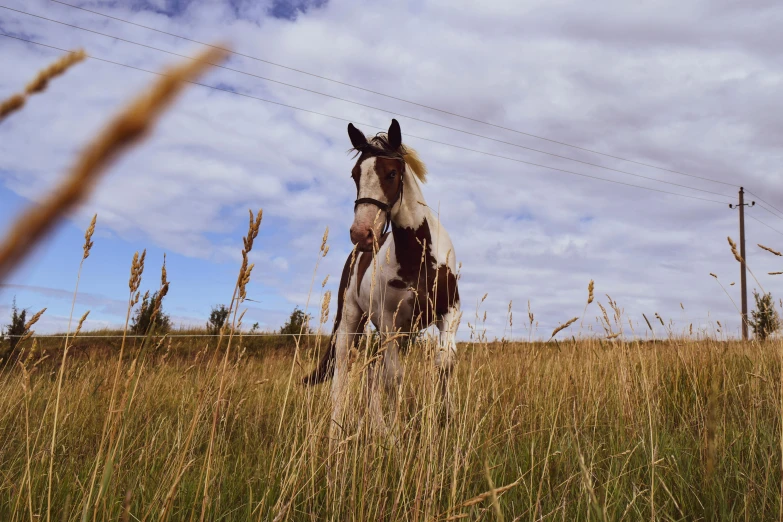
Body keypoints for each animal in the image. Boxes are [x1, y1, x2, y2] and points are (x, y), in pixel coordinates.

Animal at [304, 117, 462, 434]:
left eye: (392, 173)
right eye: (355, 175)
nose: (362, 233)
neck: (418, 258)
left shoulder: (449, 314)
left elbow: (444, 364)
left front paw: (448, 421)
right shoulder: (389, 322)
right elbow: (394, 377)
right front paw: (395, 434)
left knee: (372, 373)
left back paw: (376, 427)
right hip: (352, 321)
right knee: (344, 373)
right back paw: (338, 431)